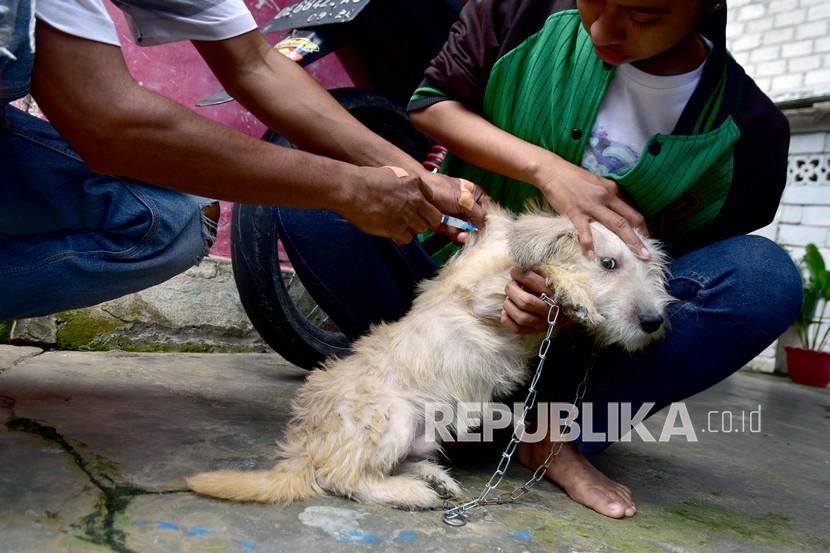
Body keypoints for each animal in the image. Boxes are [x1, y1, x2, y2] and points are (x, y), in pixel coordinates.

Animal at [188, 205, 676, 506]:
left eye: (650, 271)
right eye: (609, 263)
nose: (654, 322)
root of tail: (306, 447)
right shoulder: (483, 294)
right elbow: (542, 269)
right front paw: (573, 293)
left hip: (420, 433)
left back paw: (433, 478)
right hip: (395, 417)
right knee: (344, 479)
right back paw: (412, 493)